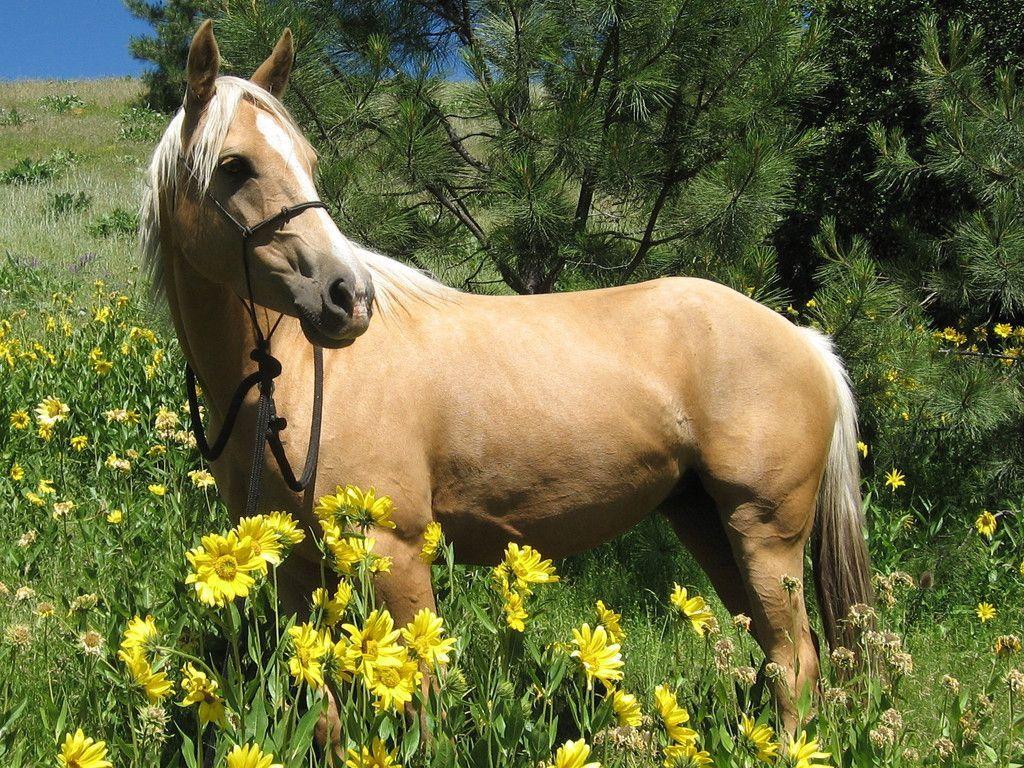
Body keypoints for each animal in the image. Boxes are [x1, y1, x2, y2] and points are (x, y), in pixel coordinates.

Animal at [142, 20, 871, 733]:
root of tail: (808, 343)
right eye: (234, 165)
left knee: (796, 662)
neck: (295, 379)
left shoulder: (396, 552)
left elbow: (423, 705)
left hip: (764, 532)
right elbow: (323, 716)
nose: (348, 296)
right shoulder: (294, 569)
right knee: (779, 657)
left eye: (308, 161)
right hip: (707, 523)